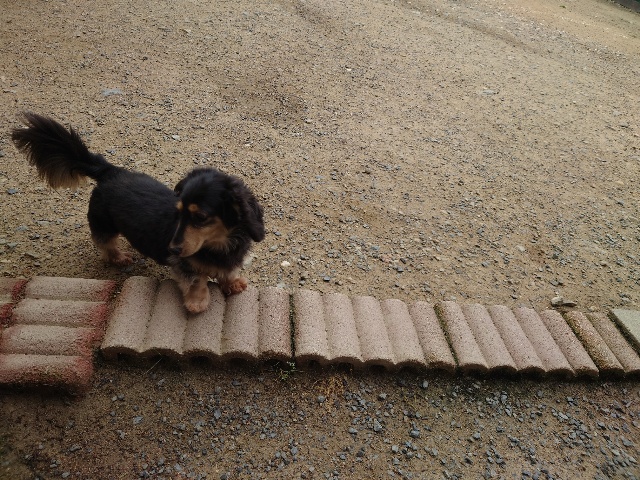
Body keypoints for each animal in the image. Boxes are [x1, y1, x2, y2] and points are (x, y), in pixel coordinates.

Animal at [11, 112, 265, 313]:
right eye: (179, 213)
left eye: (200, 217)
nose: (171, 248)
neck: (218, 244)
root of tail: (111, 171)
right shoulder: (183, 265)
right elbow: (196, 280)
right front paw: (198, 301)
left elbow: (228, 272)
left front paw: (232, 283)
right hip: (104, 225)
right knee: (105, 244)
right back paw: (118, 257)